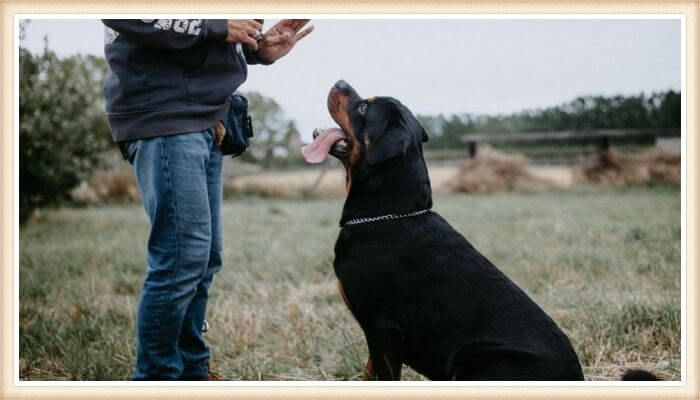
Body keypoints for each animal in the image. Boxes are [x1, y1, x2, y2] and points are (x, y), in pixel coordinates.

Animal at [304, 79, 652, 382]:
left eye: (364, 107)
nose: (339, 82)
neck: (389, 212)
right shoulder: (377, 336)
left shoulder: (382, 330)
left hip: (476, 360)